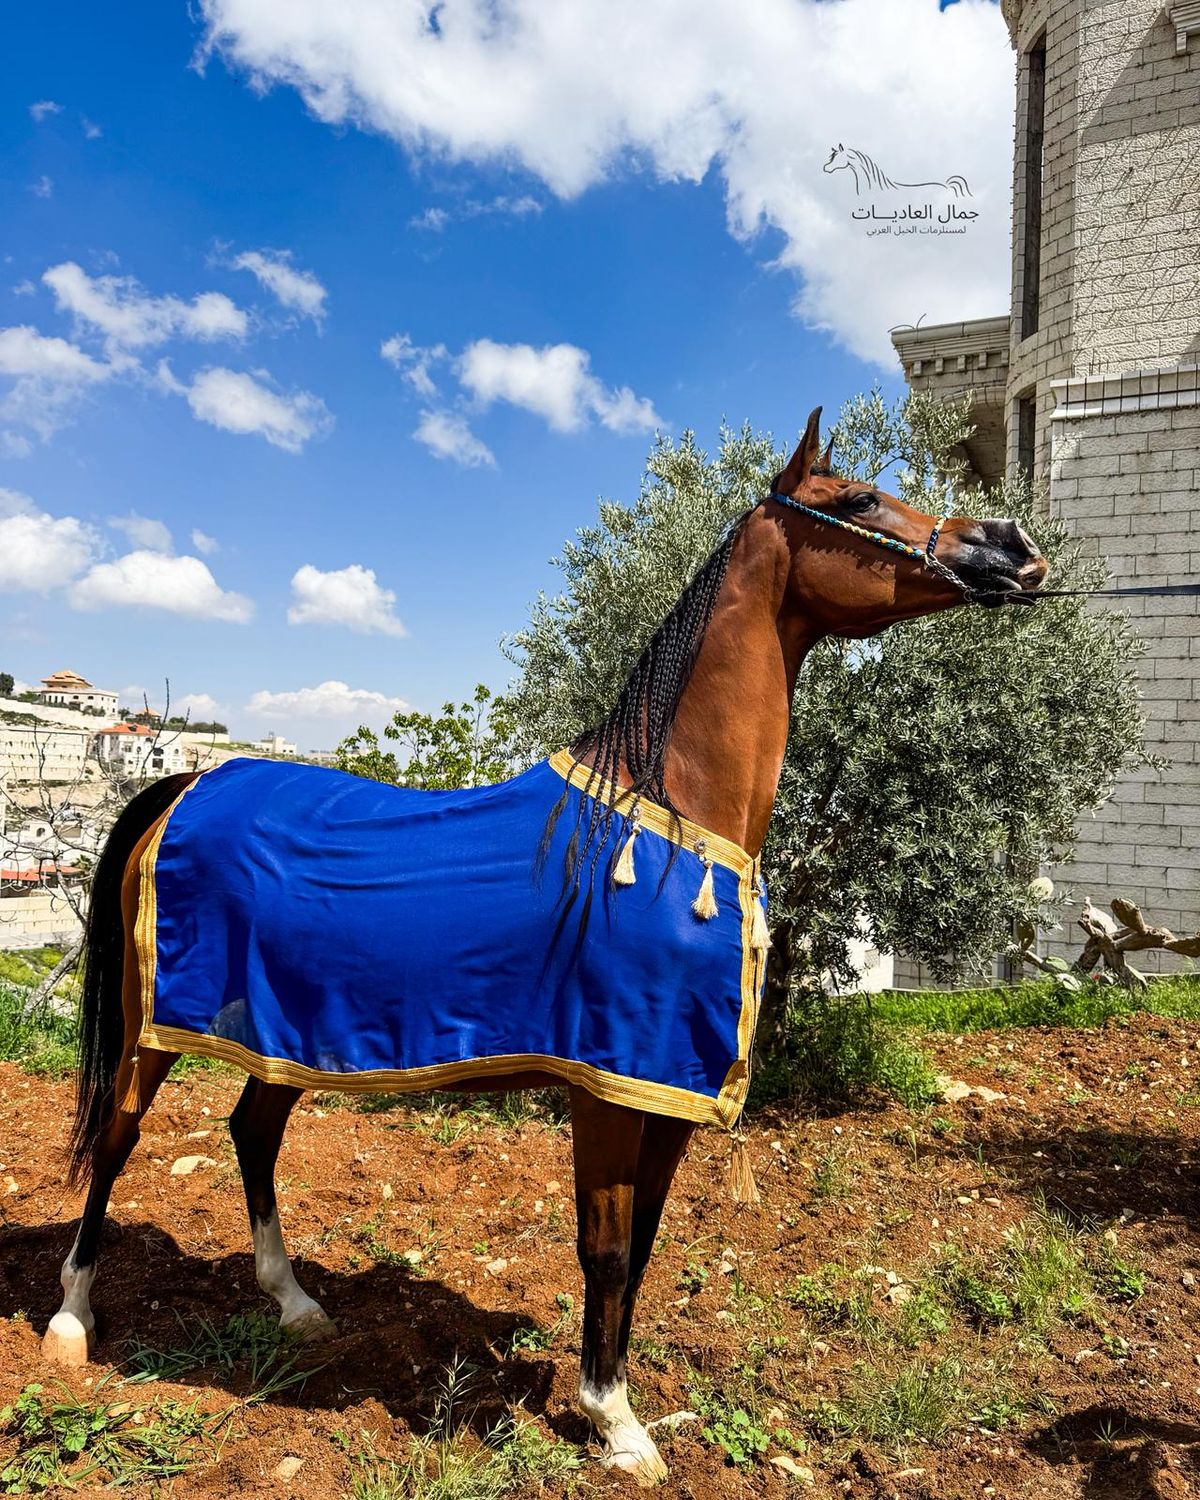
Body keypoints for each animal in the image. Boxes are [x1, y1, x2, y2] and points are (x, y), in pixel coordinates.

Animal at [44, 407, 1046, 1485]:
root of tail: (185, 785)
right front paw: (615, 1423)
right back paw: (71, 1322)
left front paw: (619, 1398)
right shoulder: (605, 1087)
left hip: (279, 1032)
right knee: (117, 1137)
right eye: (858, 498)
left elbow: (641, 1244)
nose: (1012, 547)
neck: (659, 819)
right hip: (152, 1029)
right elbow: (602, 1248)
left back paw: (298, 1304)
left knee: (251, 1132)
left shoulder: (668, 1096)